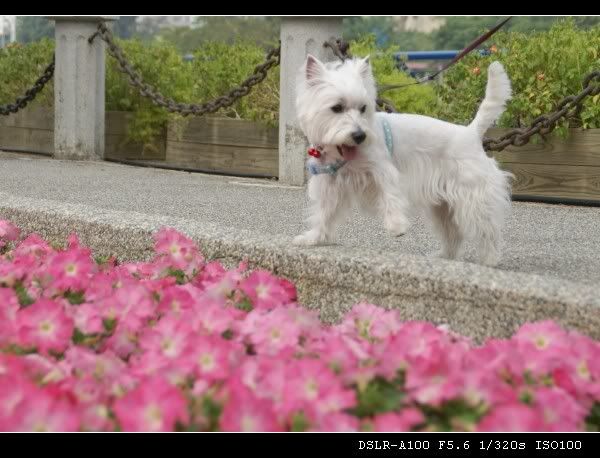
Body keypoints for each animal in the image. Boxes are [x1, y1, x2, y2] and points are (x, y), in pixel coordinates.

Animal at [293, 54, 513, 266]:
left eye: (363, 108)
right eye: (336, 108)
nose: (360, 136)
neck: (344, 153)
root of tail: (471, 132)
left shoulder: (383, 169)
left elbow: (390, 195)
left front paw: (396, 226)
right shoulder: (330, 184)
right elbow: (323, 213)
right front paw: (313, 238)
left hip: (474, 198)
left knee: (487, 231)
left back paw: (489, 260)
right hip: (442, 206)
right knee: (453, 232)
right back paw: (445, 256)